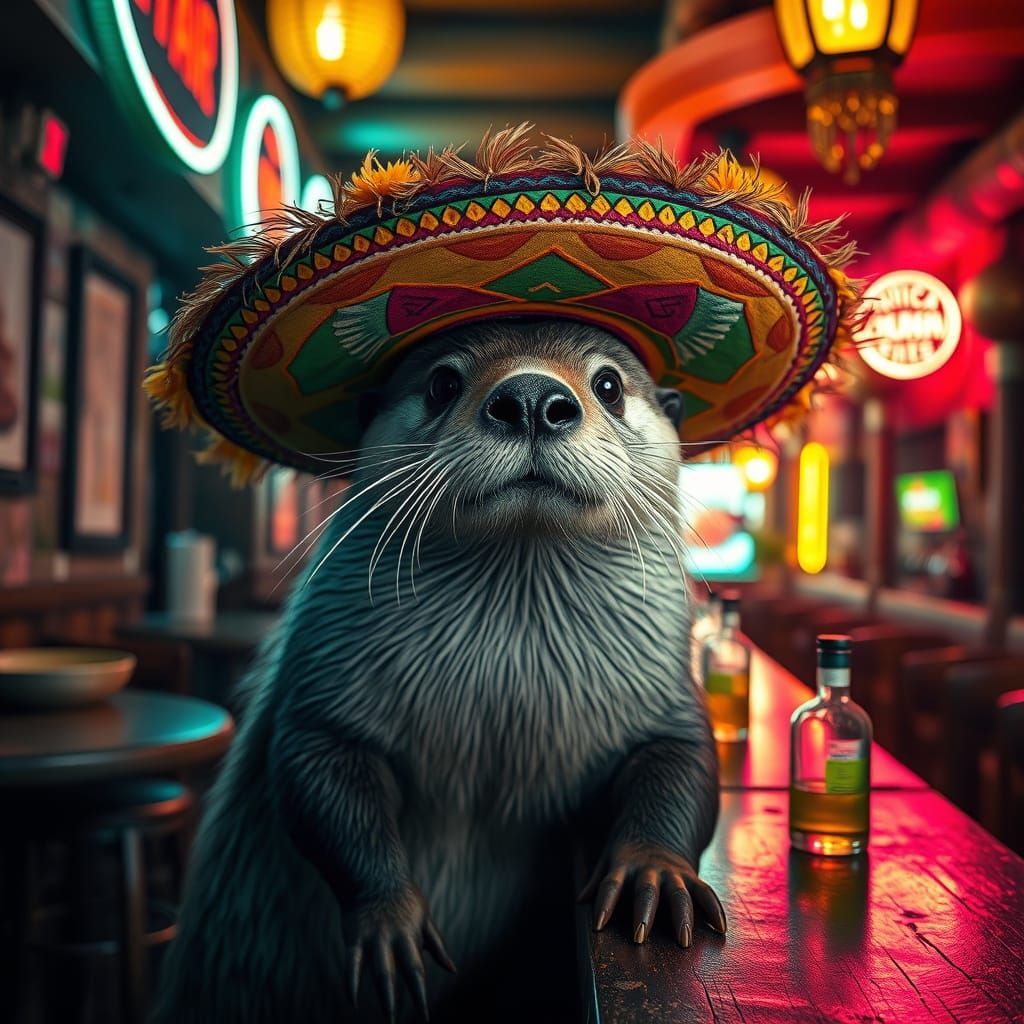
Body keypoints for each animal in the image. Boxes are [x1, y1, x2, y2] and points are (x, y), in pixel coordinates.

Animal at [153, 318, 725, 1024]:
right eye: (443, 381)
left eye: (610, 385)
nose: (531, 397)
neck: (507, 686)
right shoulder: (325, 689)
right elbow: (317, 775)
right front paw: (389, 921)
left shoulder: (665, 691)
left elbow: (684, 765)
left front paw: (656, 873)